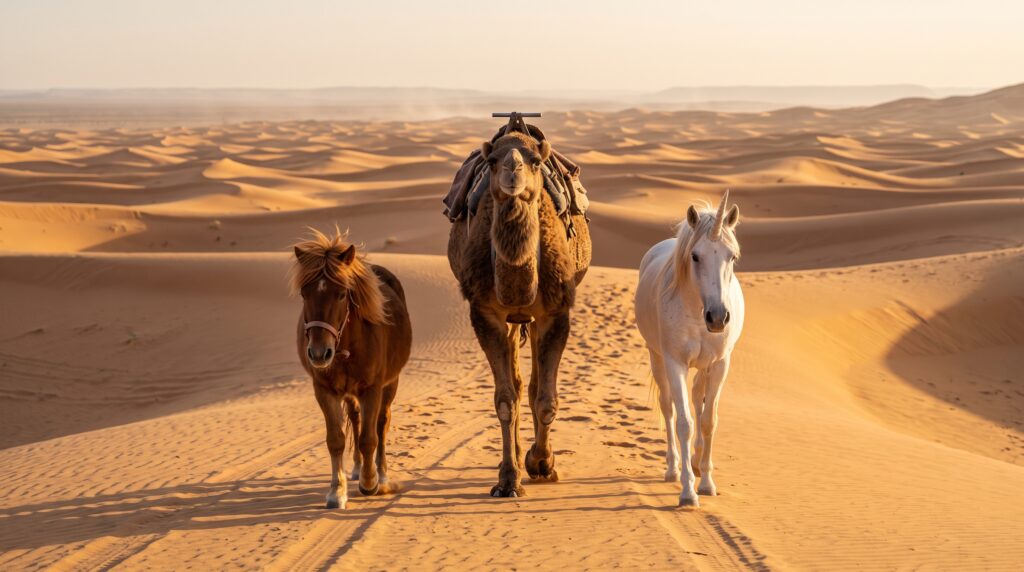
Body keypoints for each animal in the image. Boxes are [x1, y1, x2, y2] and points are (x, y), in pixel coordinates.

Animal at [291, 228, 412, 509]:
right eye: (304, 293)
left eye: (341, 294)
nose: (318, 353)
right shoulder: (324, 390)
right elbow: (336, 440)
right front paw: (337, 491)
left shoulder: (372, 389)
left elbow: (370, 438)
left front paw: (370, 483)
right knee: (356, 420)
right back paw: (356, 469)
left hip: (390, 385)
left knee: (381, 422)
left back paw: (381, 474)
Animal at [634, 190, 744, 508]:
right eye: (695, 256)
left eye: (732, 256)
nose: (718, 318)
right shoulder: (675, 363)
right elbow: (684, 422)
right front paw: (687, 491)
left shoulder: (719, 364)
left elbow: (708, 420)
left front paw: (706, 482)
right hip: (657, 358)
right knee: (668, 408)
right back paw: (673, 468)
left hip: (704, 367)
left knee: (698, 399)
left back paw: (695, 461)